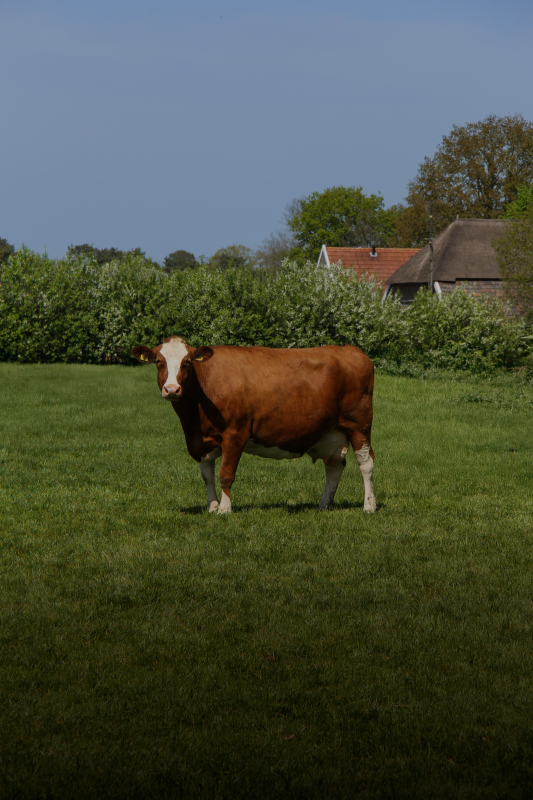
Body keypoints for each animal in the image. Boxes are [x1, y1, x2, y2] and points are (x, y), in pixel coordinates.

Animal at [132, 336, 376, 514]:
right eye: (159, 362)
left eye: (187, 363)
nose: (172, 389)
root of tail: (352, 350)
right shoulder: (201, 440)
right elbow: (207, 476)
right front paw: (211, 506)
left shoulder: (234, 433)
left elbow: (225, 474)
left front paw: (224, 509)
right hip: (331, 431)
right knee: (334, 467)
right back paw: (324, 505)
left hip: (359, 425)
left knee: (366, 463)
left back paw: (369, 505)